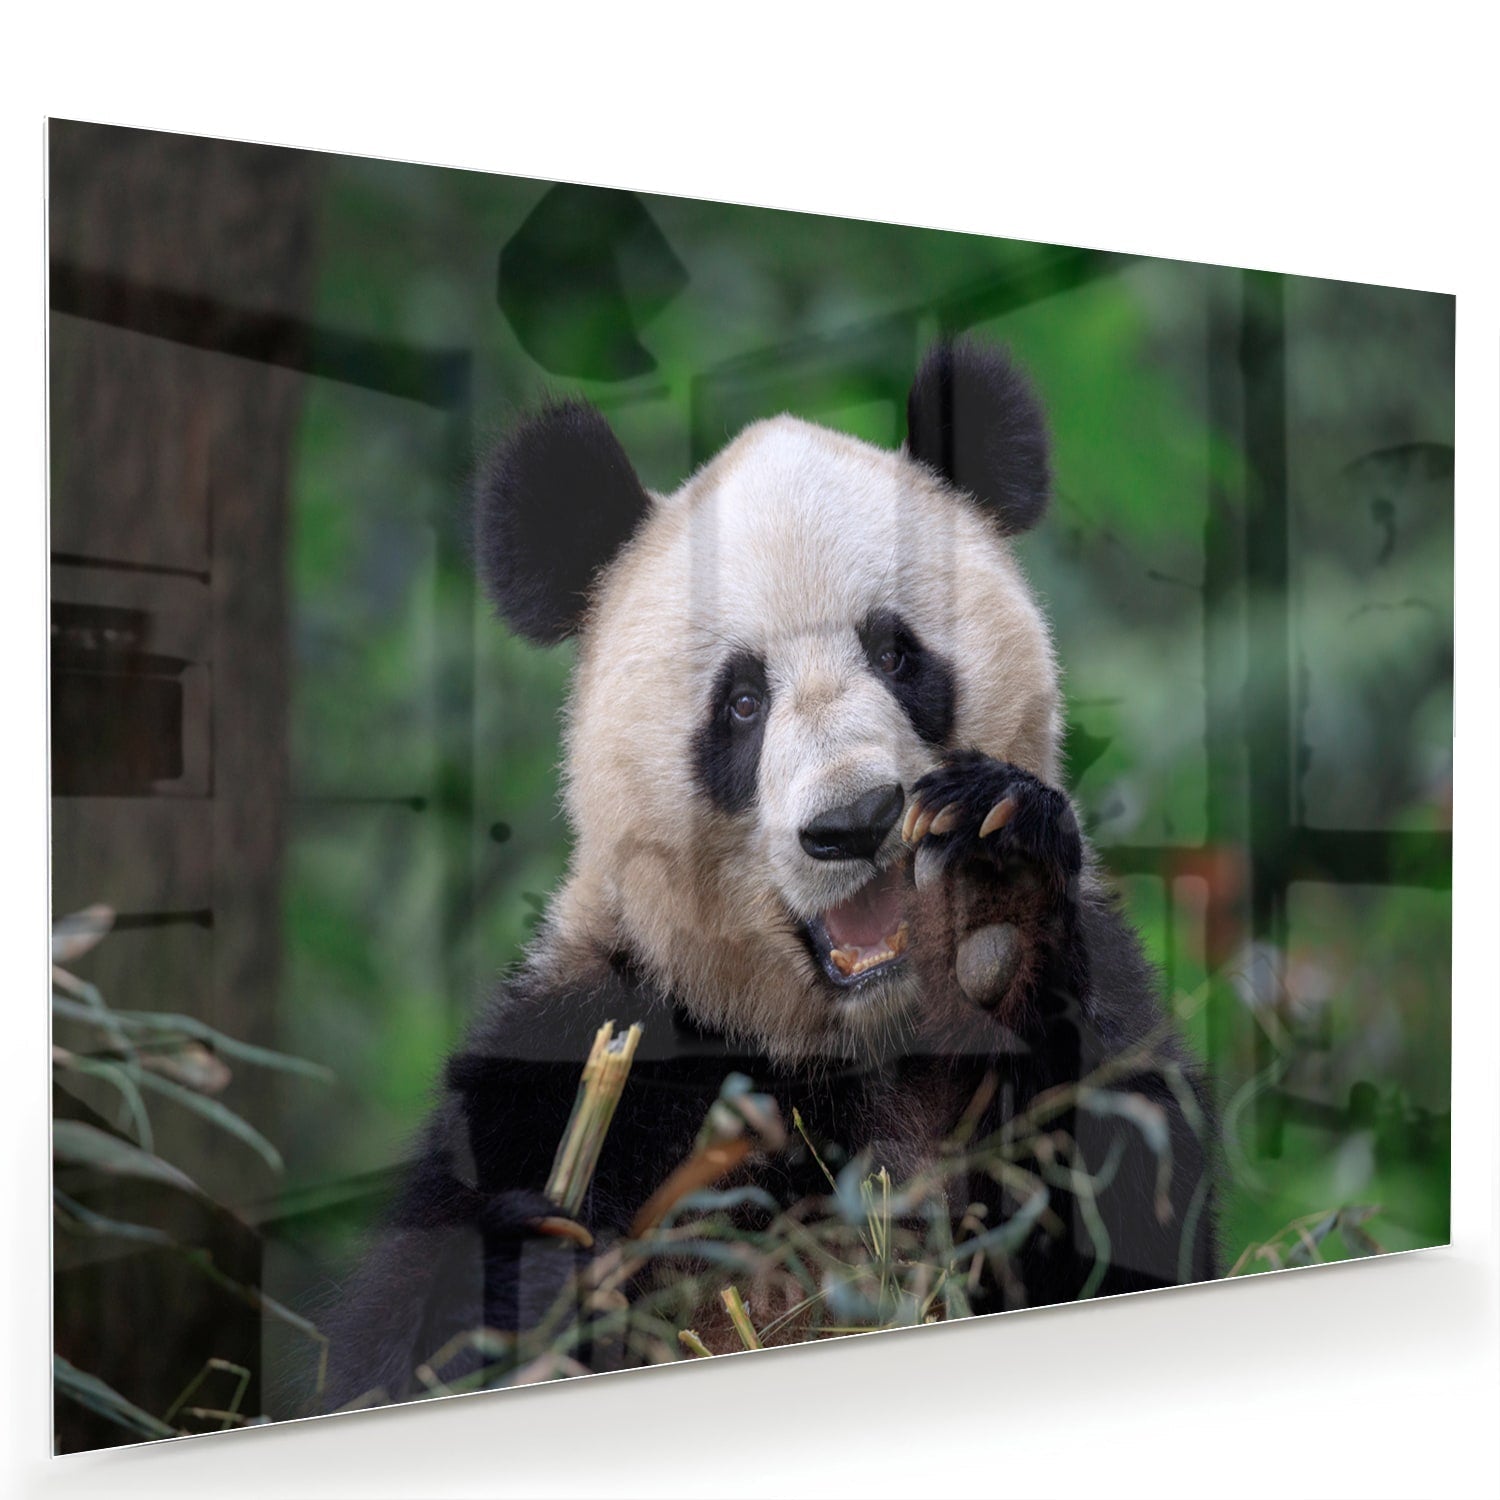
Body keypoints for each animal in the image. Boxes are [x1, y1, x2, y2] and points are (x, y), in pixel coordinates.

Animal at [322, 338, 1219, 1410]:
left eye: (897, 653)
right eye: (742, 702)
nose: (855, 823)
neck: (845, 1045)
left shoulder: (1107, 1009)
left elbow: (1130, 1222)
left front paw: (996, 907)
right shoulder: (579, 1045)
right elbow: (385, 1349)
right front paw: (525, 1277)